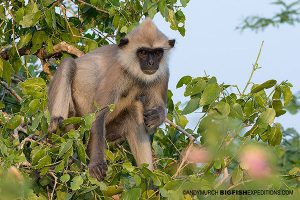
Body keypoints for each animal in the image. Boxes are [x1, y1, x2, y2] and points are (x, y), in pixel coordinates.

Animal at [47, 19, 175, 181]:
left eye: (157, 53)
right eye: (143, 52)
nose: (152, 63)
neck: (133, 72)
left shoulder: (163, 73)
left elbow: (153, 119)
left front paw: (157, 116)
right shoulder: (116, 71)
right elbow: (98, 114)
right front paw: (96, 164)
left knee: (134, 110)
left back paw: (148, 178)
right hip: (75, 122)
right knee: (68, 63)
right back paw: (56, 125)